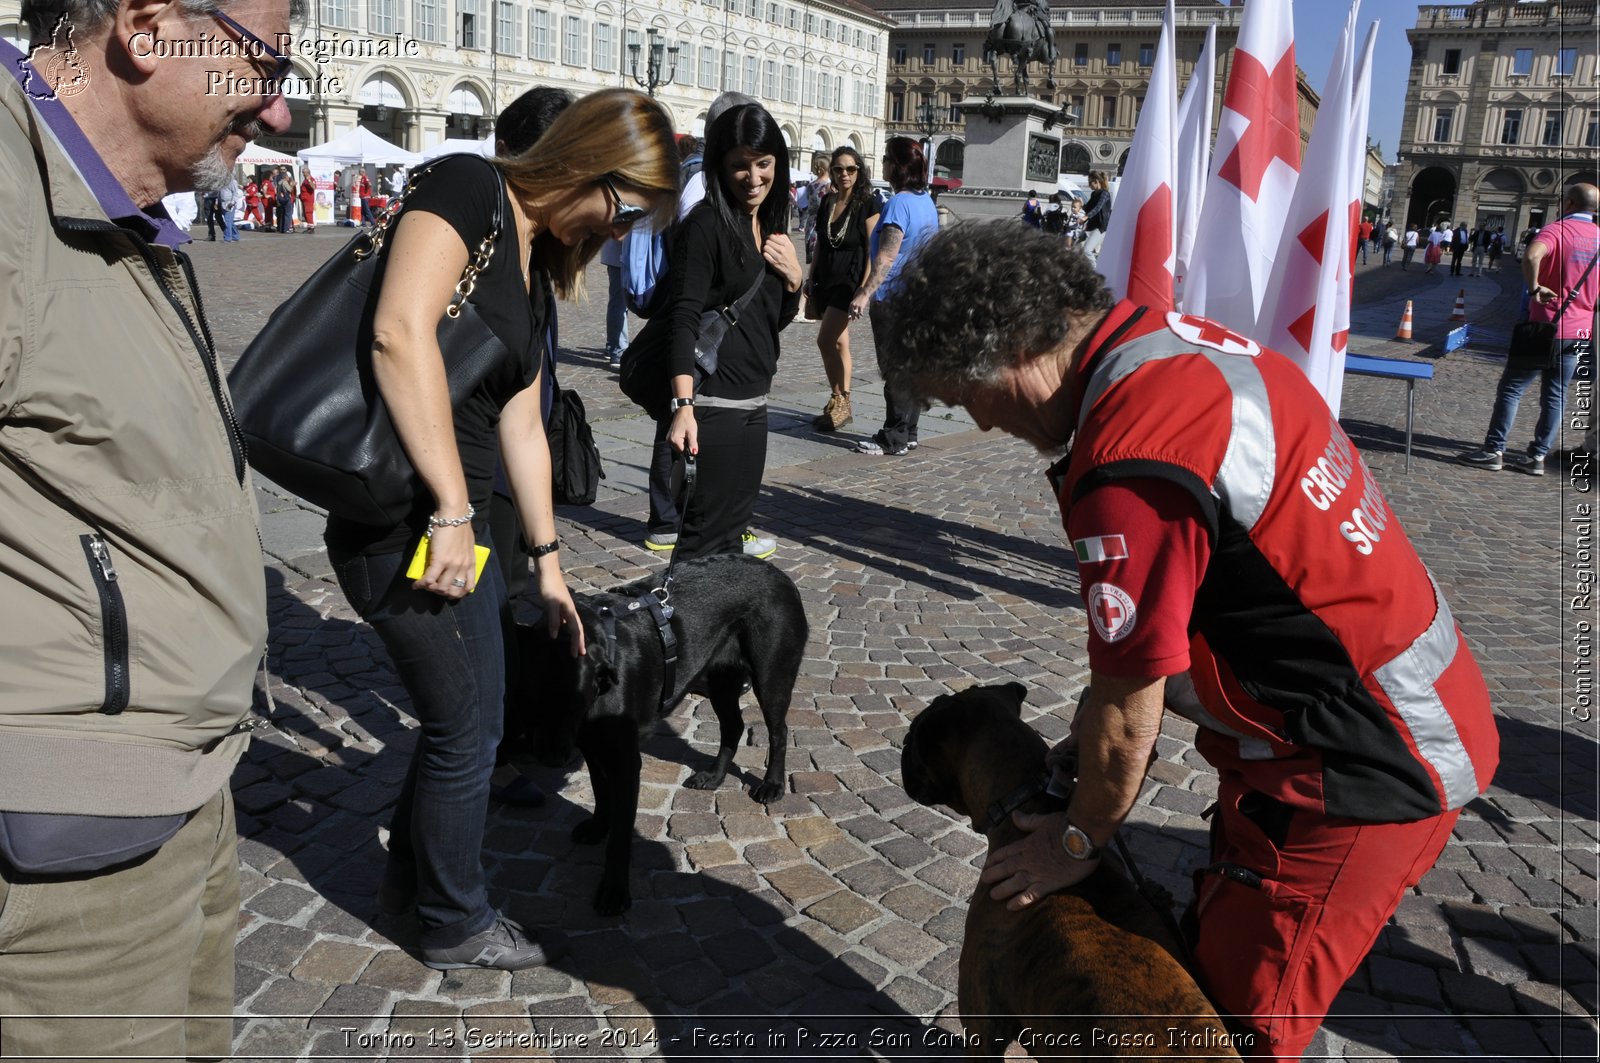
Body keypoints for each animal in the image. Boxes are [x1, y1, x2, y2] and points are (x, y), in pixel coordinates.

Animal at [512, 557, 806, 915]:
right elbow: (600, 792)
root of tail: (781, 575)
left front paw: (614, 891)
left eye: (577, 700)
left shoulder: (626, 764)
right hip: (721, 678)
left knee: (779, 732)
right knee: (733, 726)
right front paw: (598, 826)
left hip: (771, 676)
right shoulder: (593, 748)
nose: (551, 758)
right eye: (529, 698)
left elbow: (621, 837)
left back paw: (772, 785)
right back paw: (714, 776)